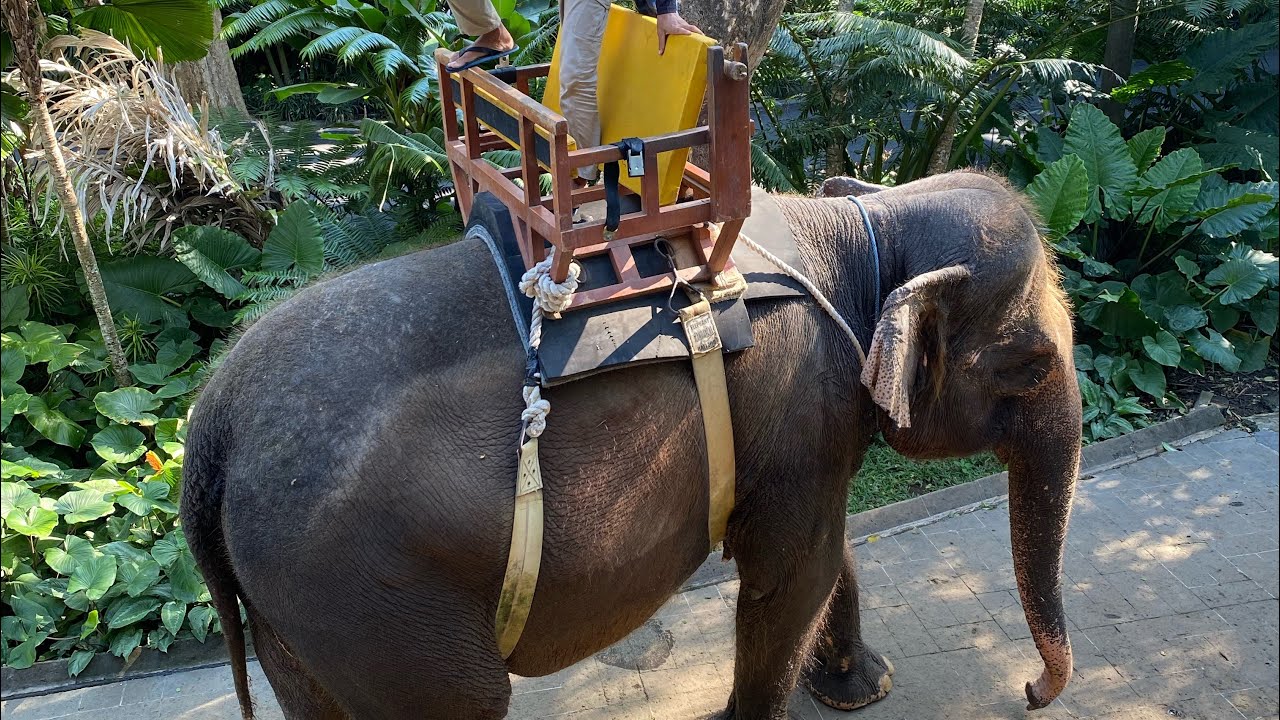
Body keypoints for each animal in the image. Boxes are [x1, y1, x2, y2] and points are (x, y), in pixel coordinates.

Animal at [181, 170, 1081, 720]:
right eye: (1030, 366)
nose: (1033, 691)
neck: (865, 229)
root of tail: (210, 426)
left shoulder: (802, 432)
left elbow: (826, 552)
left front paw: (861, 688)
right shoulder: (804, 402)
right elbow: (790, 579)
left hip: (291, 606)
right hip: (370, 595)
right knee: (464, 702)